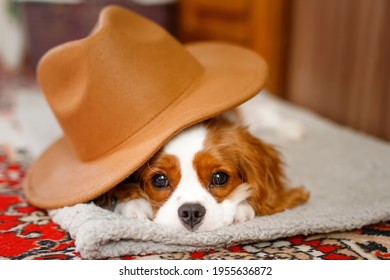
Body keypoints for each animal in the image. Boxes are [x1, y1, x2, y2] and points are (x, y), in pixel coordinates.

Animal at [94, 96, 308, 232]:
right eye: (160, 180)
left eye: (220, 178)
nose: (191, 212)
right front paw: (135, 203)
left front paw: (241, 206)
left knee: (266, 111)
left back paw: (292, 127)